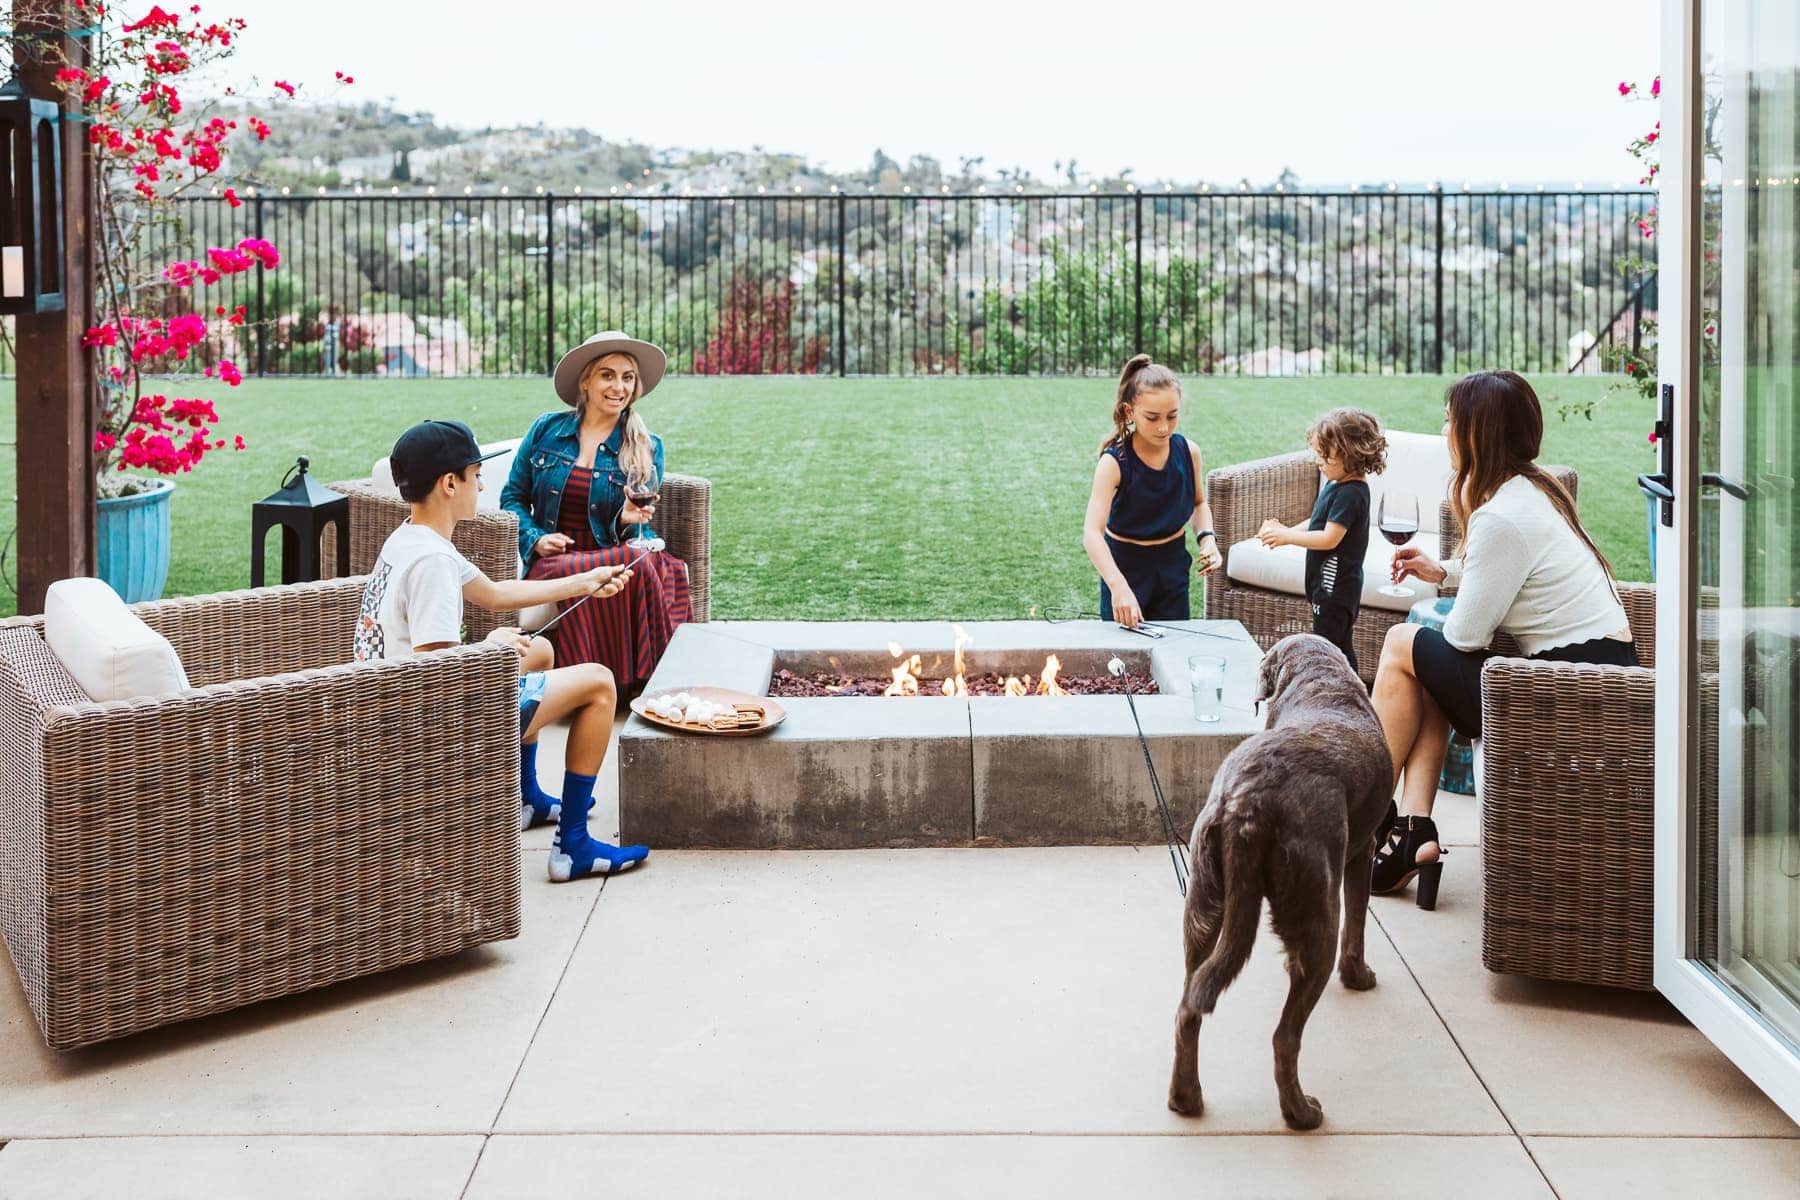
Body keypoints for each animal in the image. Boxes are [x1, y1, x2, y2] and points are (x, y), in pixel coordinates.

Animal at [1166, 633, 1389, 1129]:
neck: (1320, 678)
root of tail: (1246, 804)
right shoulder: (1362, 850)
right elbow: (1359, 922)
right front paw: (1359, 975)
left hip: (1203, 901)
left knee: (1189, 1003)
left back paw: (1186, 1099)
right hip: (1316, 912)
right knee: (1284, 1037)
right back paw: (1301, 1113)